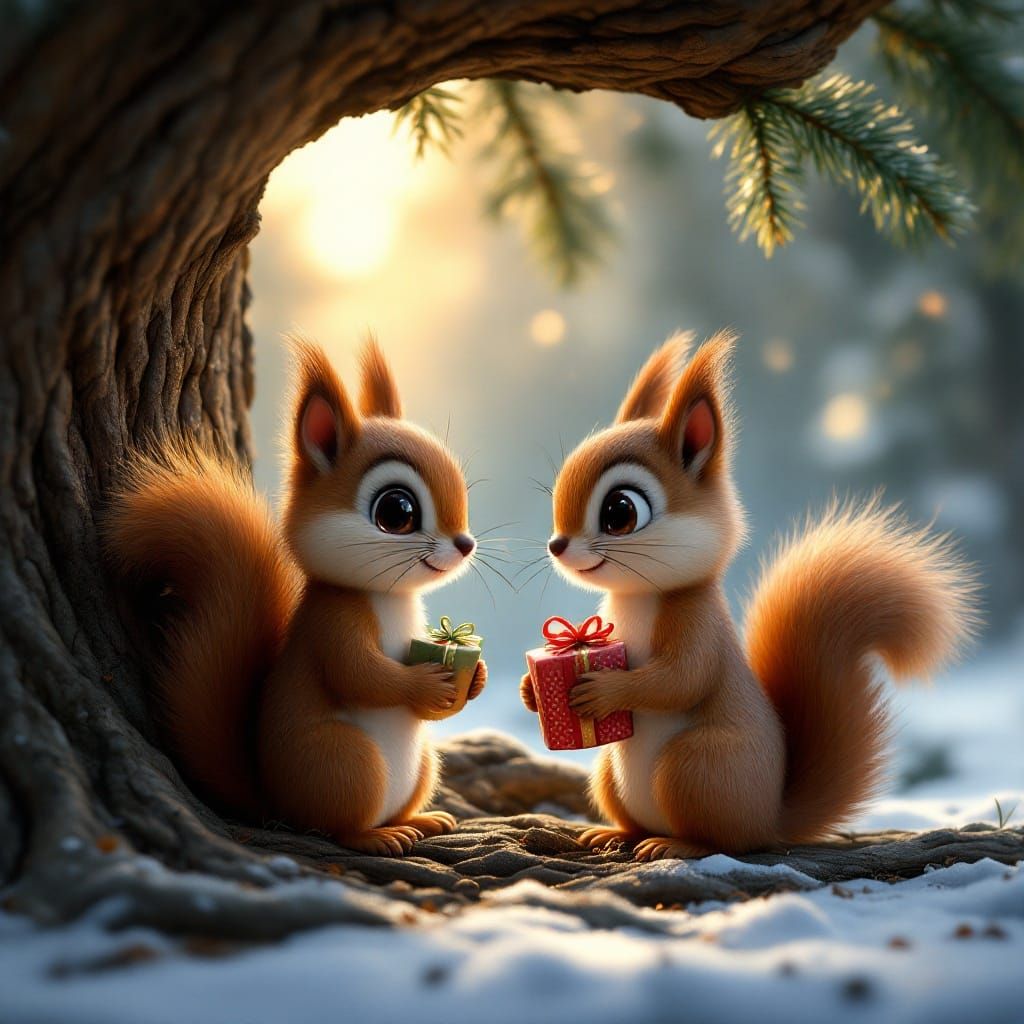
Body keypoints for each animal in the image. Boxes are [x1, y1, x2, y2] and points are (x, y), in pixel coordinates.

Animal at [106, 336, 486, 857]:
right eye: (397, 511)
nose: (465, 544)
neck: (389, 597)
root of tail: (276, 803)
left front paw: (476, 679)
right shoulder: (333, 622)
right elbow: (359, 675)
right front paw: (426, 685)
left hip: (424, 763)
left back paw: (423, 821)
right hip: (343, 762)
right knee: (338, 826)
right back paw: (380, 836)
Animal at [521, 331, 977, 861]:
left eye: (620, 512)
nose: (557, 545)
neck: (637, 596)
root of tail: (770, 819)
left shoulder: (698, 623)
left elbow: (681, 679)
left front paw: (605, 690)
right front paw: (531, 690)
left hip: (697, 767)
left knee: (721, 840)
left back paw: (672, 844)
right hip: (609, 774)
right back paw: (614, 834)